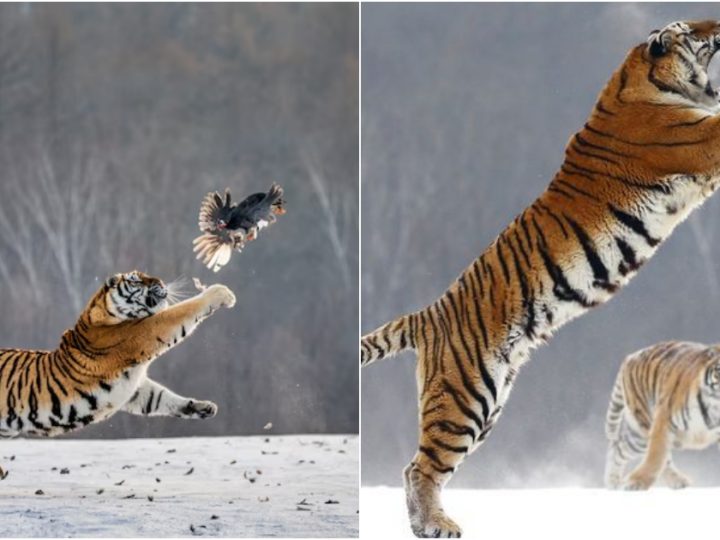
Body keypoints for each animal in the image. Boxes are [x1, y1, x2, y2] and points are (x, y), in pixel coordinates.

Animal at [604, 342, 720, 490]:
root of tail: (630, 357)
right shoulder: (664, 421)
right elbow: (655, 456)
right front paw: (635, 482)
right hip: (643, 434)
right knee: (621, 448)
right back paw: (612, 482)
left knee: (619, 447)